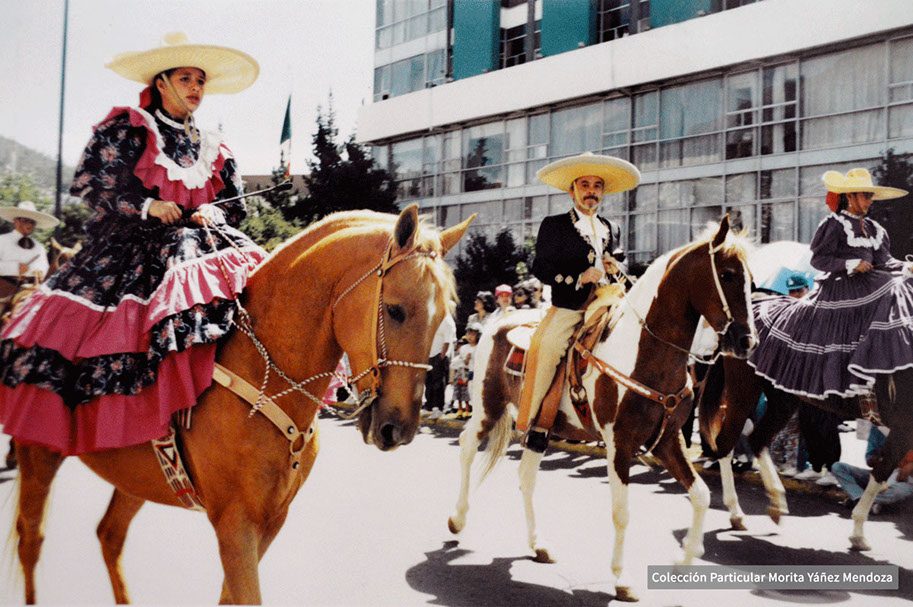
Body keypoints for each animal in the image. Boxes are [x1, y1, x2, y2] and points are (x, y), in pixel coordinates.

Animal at [10, 207, 474, 604]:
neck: (258, 365)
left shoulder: (270, 521)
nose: (399, 428)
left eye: (445, 319)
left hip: (138, 476)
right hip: (39, 455)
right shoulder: (235, 525)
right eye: (394, 311)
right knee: (31, 540)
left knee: (109, 535)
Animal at [448, 216, 756, 600]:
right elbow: (621, 512)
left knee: (526, 476)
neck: (645, 352)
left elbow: (700, 495)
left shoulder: (667, 441)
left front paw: (684, 559)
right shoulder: (619, 444)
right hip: (487, 408)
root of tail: (496, 323)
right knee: (466, 449)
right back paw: (457, 518)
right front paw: (622, 579)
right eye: (727, 274)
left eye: (751, 279)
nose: (747, 341)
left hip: (539, 426)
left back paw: (538, 544)